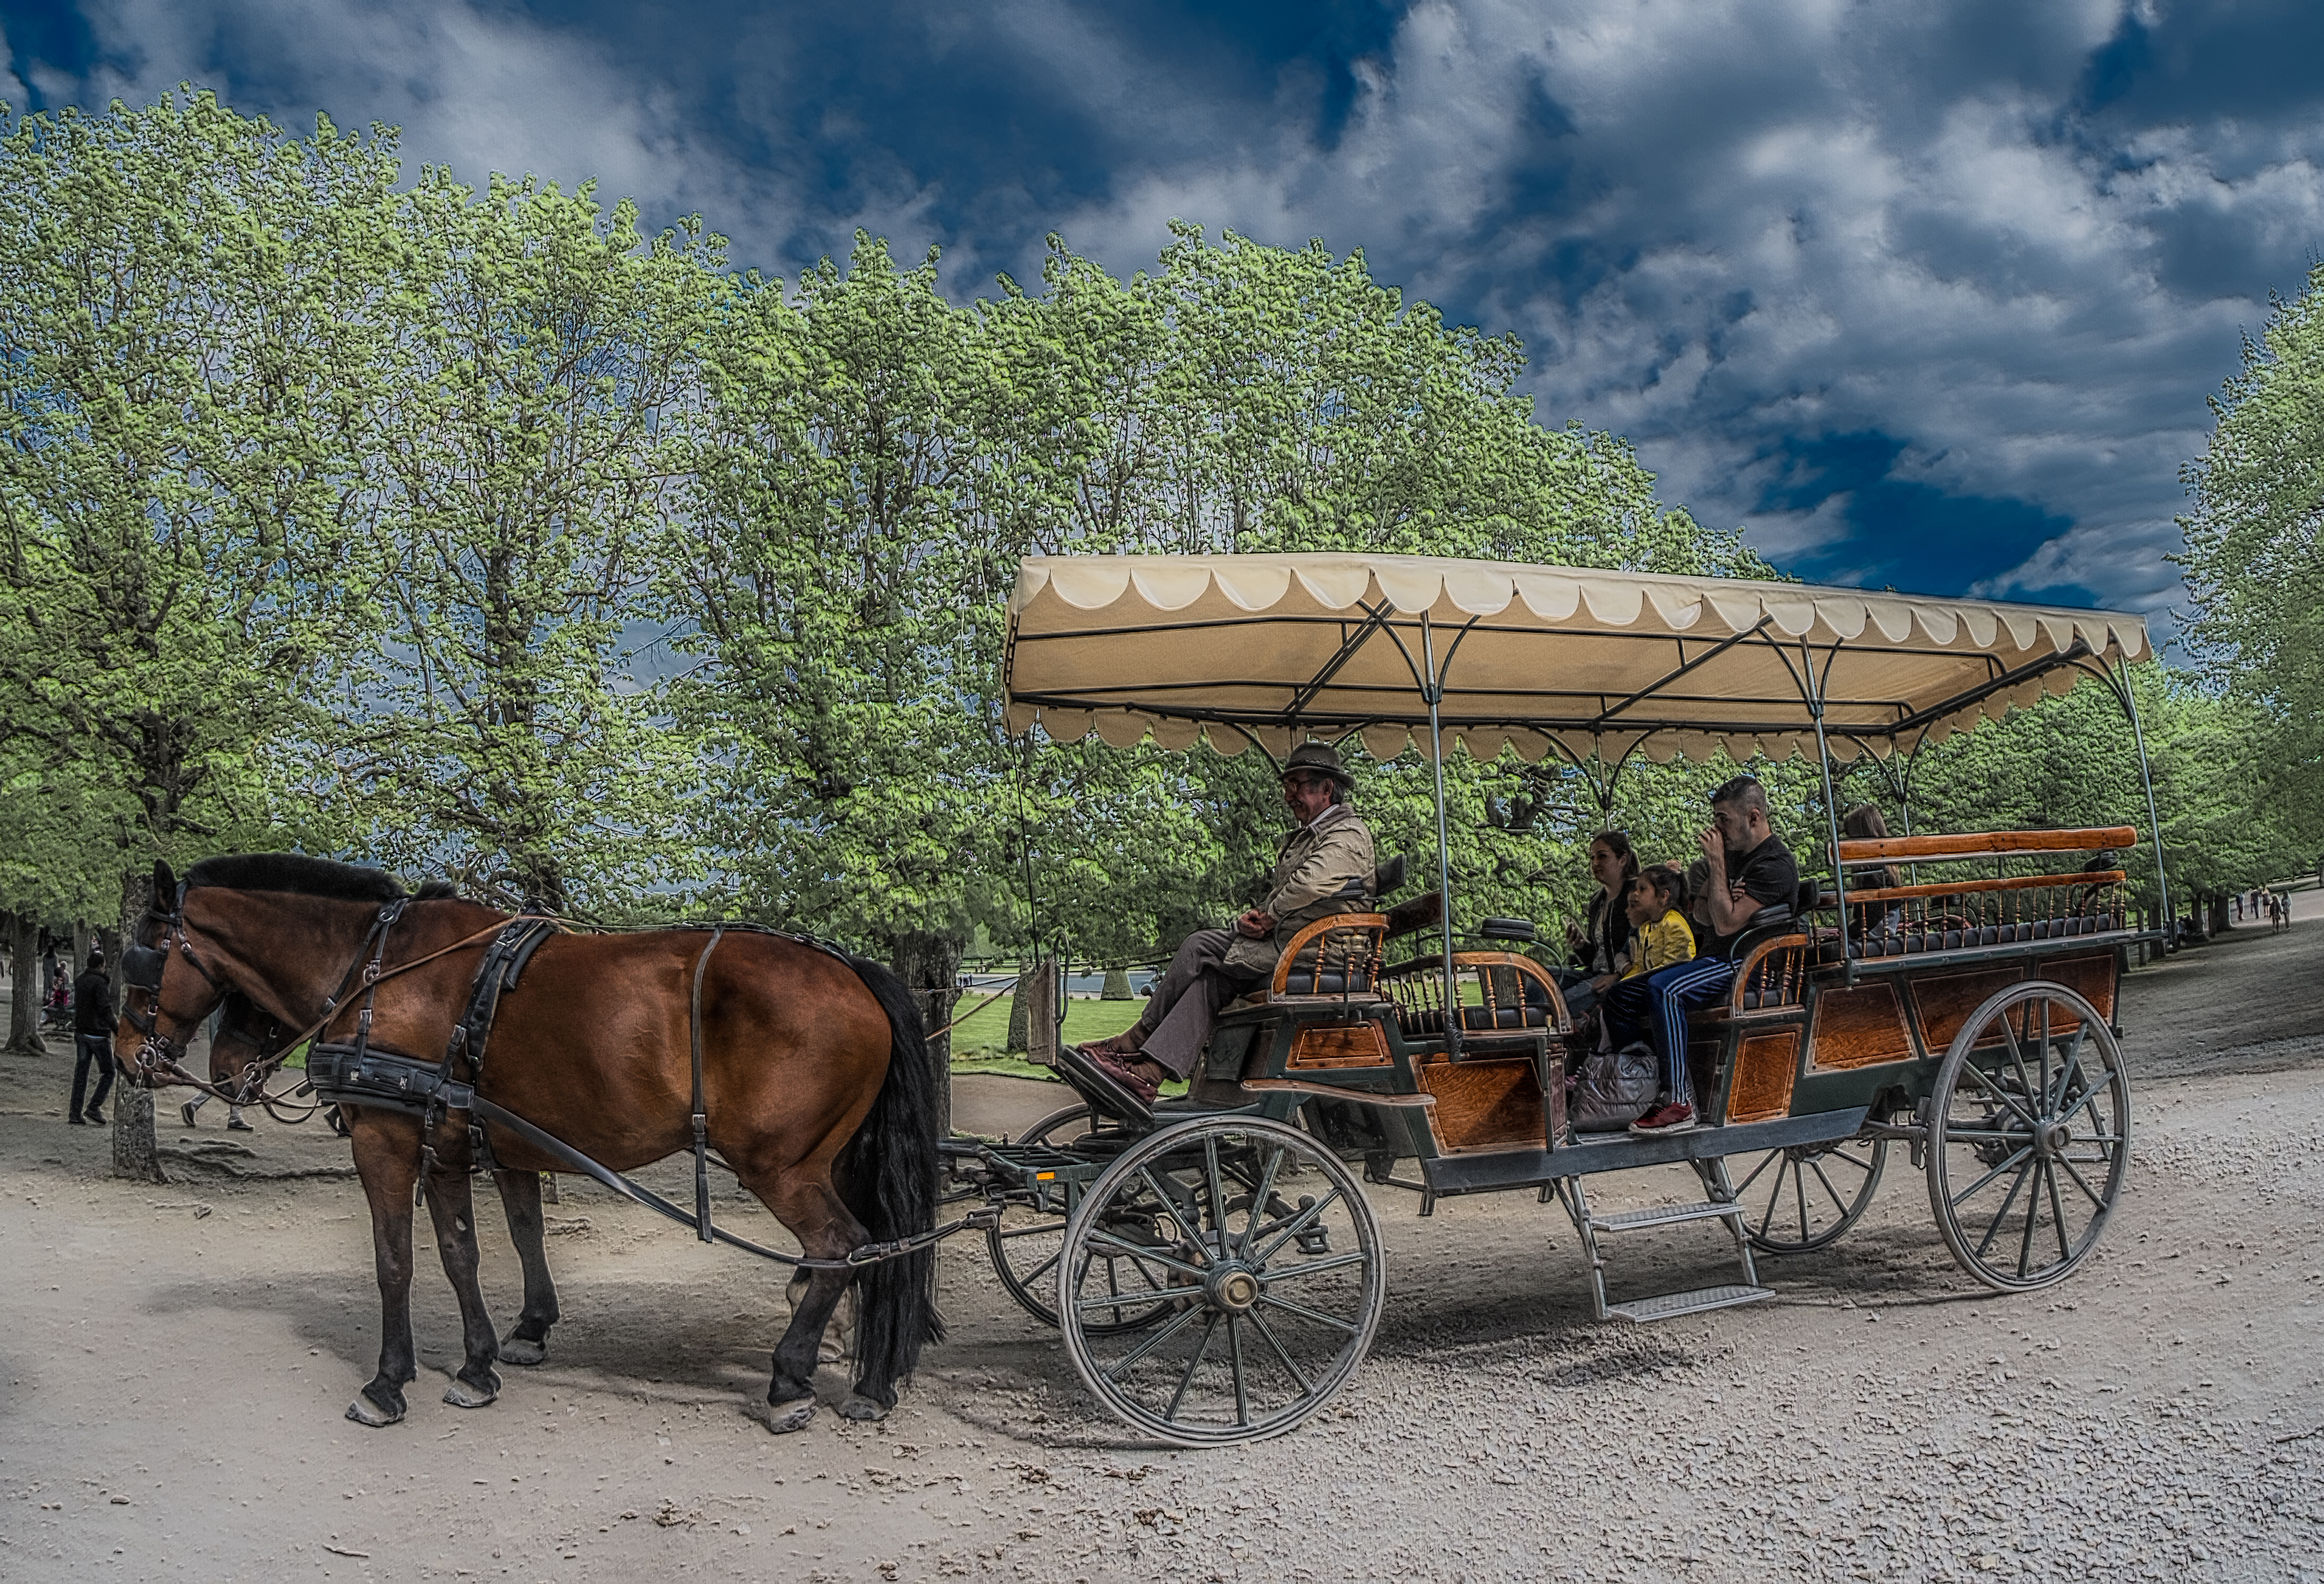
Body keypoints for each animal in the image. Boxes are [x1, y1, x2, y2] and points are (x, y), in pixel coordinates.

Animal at [120, 851, 943, 1433]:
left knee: (841, 1246)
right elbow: (472, 1249)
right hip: (833, 1158)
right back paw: (868, 1379)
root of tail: (851, 970)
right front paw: (485, 1360)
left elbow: (395, 1260)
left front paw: (388, 1383)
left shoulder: (389, 1140)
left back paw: (788, 1377)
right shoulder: (461, 1144)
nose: (132, 1057)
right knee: (879, 1249)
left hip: (781, 1165)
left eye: (143, 957)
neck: (381, 967)